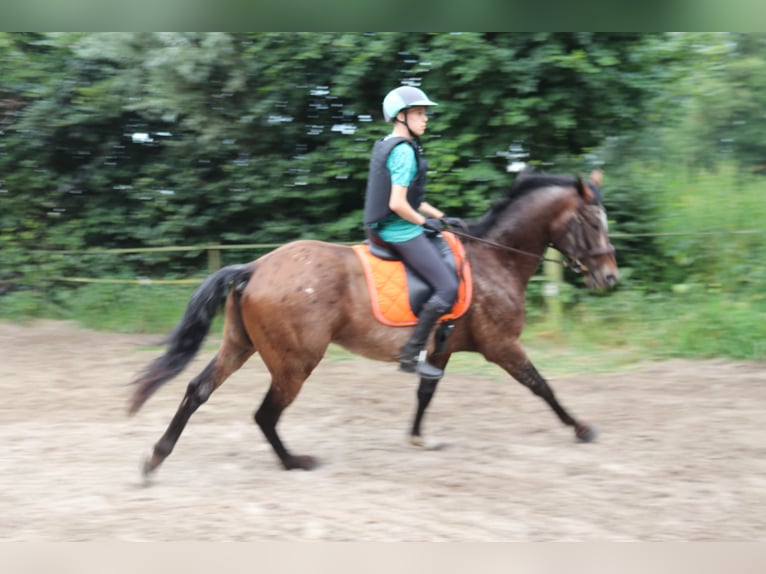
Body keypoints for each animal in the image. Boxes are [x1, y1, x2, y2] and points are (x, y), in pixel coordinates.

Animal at [130, 173, 616, 480]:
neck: (495, 258)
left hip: (239, 345)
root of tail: (253, 267)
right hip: (294, 362)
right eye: (593, 222)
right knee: (265, 413)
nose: (610, 278)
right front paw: (581, 428)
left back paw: (155, 459)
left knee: (198, 390)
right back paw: (294, 462)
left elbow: (425, 393)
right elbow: (541, 385)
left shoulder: (440, 349)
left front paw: (418, 438)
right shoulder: (502, 346)